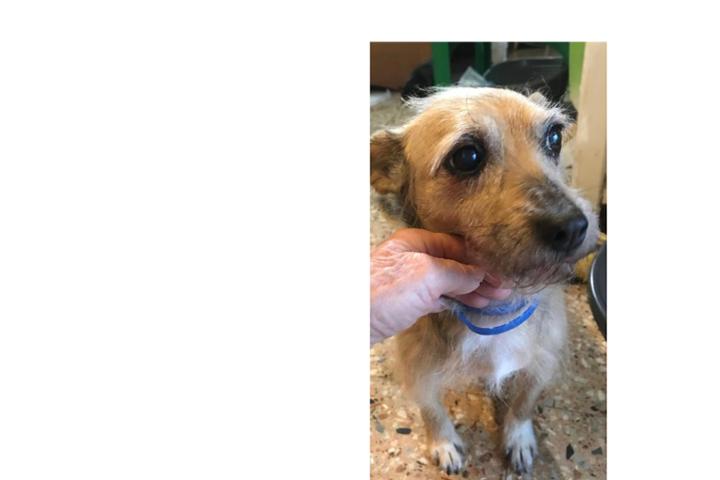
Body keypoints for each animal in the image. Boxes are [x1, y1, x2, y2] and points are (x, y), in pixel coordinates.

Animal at [370, 87, 599, 476]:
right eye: (467, 157)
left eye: (554, 137)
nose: (573, 227)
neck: (496, 309)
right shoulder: (419, 372)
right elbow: (432, 411)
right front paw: (444, 443)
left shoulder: (539, 365)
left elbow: (522, 405)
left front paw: (518, 438)